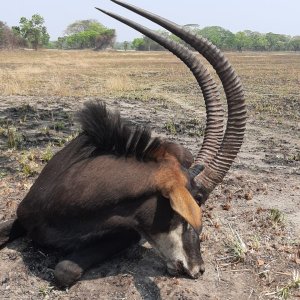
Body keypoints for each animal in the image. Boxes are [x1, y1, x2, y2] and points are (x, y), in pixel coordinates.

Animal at [0, 0, 246, 288]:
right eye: (195, 200)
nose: (198, 269)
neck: (69, 197)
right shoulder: (22, 215)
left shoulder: (127, 232)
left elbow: (65, 269)